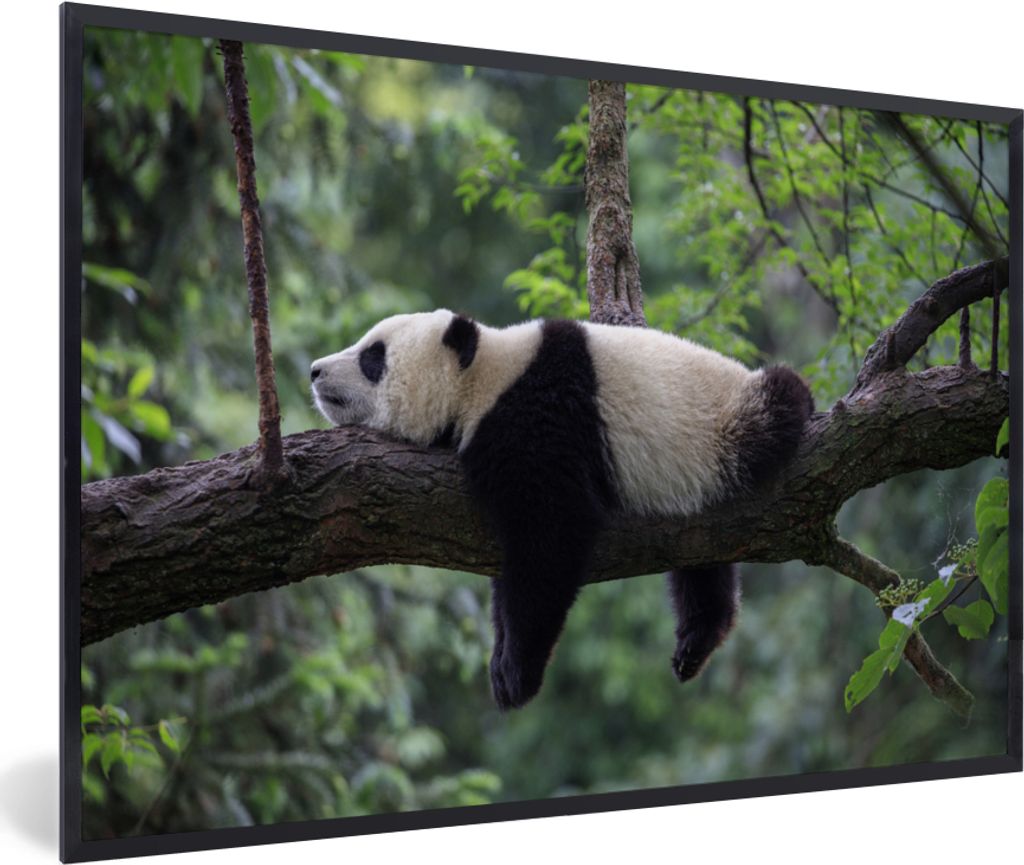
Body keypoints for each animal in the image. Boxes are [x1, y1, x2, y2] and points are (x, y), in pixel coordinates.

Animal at [311, 309, 813, 710]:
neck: (484, 378)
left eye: (373, 357)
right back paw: (698, 638)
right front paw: (501, 658)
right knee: (702, 558)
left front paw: (516, 673)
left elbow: (551, 538)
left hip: (727, 428)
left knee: (779, 402)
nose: (315, 370)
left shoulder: (538, 420)